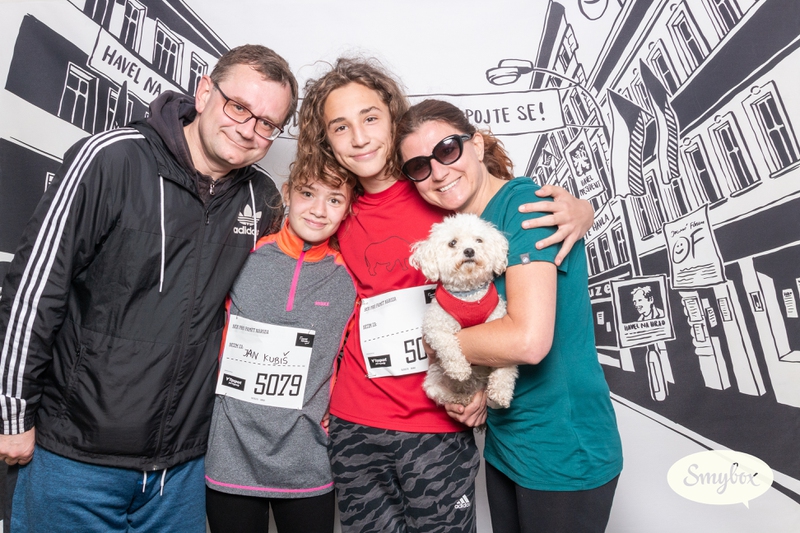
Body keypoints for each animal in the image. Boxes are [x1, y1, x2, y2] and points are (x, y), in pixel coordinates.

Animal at [410, 214, 518, 409]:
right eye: (452, 243)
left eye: (479, 240)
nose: (469, 251)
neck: (469, 296)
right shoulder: (434, 326)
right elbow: (448, 344)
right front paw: (459, 369)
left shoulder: (499, 327)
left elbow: (506, 366)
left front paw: (501, 391)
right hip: (433, 381)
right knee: (446, 395)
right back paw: (461, 398)